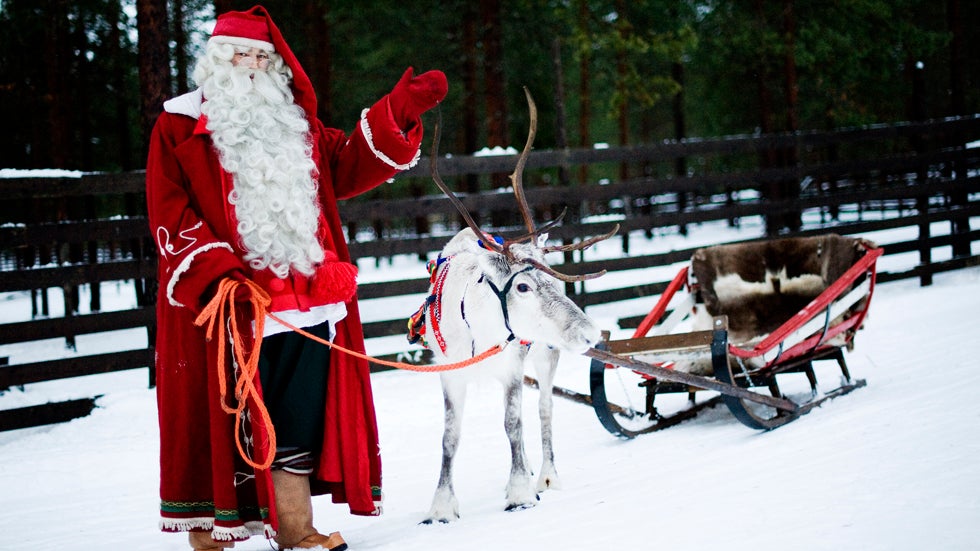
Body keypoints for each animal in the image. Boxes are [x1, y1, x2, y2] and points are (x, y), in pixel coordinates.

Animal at [409, 88, 618, 523]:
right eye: (522, 285)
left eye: (555, 280)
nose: (590, 333)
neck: (477, 329)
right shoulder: (448, 372)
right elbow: (449, 437)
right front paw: (441, 507)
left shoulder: (511, 367)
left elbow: (513, 424)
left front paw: (521, 491)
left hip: (545, 354)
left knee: (543, 409)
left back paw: (547, 476)